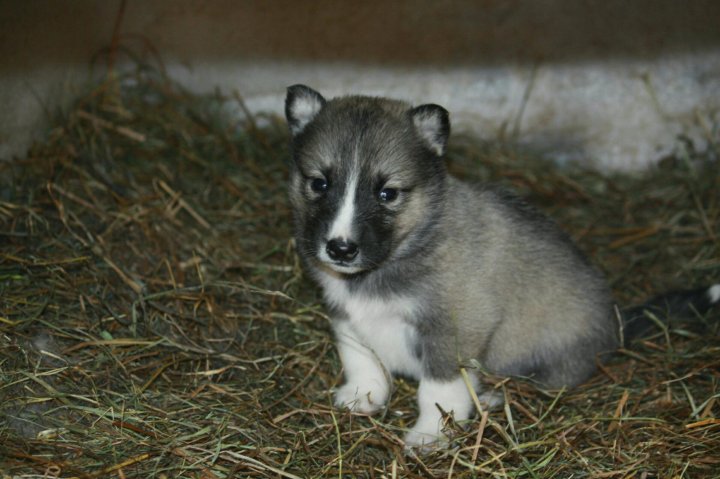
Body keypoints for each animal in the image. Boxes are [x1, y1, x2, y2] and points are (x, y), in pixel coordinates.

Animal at [284, 84, 716, 448]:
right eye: (319, 183)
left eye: (387, 193)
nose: (340, 248)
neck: (405, 250)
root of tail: (617, 323)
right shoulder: (345, 316)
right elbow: (360, 359)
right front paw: (363, 397)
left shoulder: (455, 328)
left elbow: (437, 389)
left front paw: (432, 434)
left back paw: (492, 397)